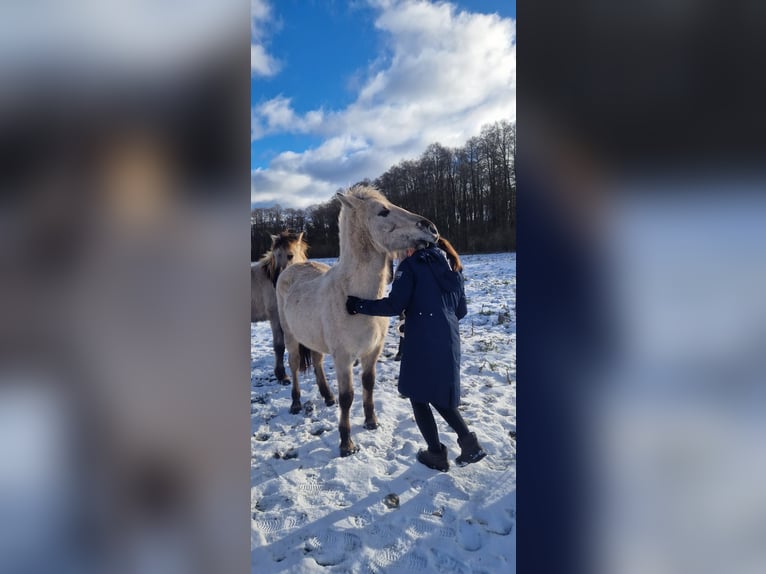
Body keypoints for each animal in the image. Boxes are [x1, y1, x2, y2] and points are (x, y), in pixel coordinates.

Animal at [254, 232, 310, 384]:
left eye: (290, 255)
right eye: (275, 255)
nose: (276, 281)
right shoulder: (275, 317)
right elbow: (279, 346)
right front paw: (282, 375)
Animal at [276, 187, 438, 456]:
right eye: (383, 212)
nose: (432, 229)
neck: (356, 300)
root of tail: (292, 267)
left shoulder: (371, 352)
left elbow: (368, 385)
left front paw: (371, 422)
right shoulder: (343, 357)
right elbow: (348, 397)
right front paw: (346, 443)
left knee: (317, 362)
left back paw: (327, 396)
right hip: (290, 336)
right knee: (295, 364)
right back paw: (296, 402)